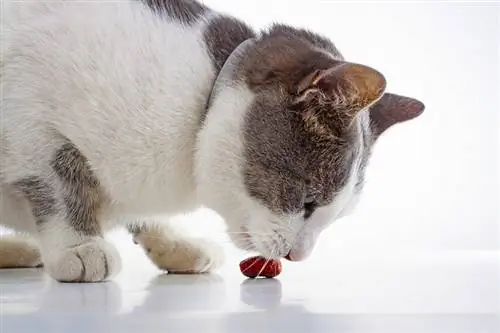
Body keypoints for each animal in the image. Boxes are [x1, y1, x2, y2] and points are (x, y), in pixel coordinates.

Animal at [0, 0, 424, 282]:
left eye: (336, 216)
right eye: (308, 203)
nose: (298, 255)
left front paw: (175, 244)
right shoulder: (30, 116)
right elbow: (61, 180)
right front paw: (79, 245)